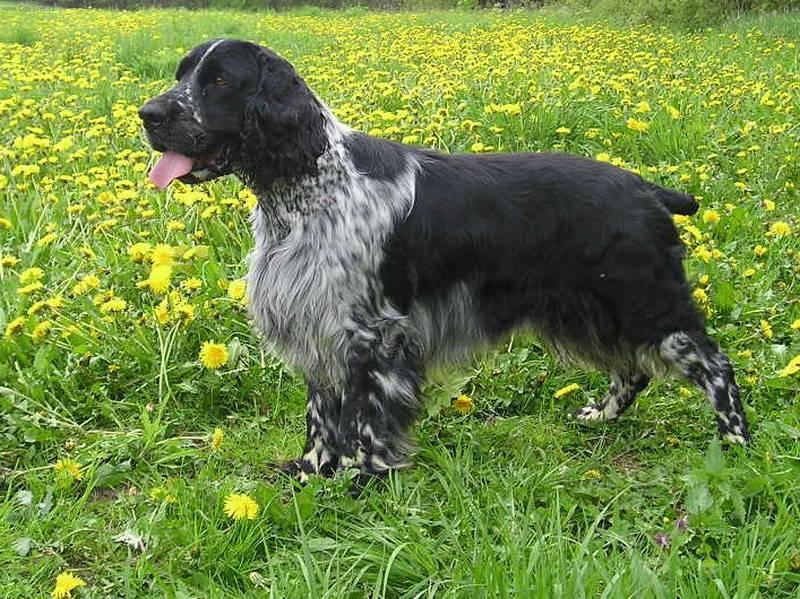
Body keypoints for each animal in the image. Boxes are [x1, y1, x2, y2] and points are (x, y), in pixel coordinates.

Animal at [139, 38, 752, 482]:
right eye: (182, 73)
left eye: (219, 81)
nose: (147, 114)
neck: (312, 185)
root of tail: (649, 190)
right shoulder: (320, 322)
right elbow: (323, 414)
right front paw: (313, 471)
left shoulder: (374, 334)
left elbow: (367, 418)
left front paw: (364, 479)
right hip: (592, 309)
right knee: (632, 369)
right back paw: (599, 417)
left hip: (644, 301)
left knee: (715, 365)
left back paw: (737, 443)